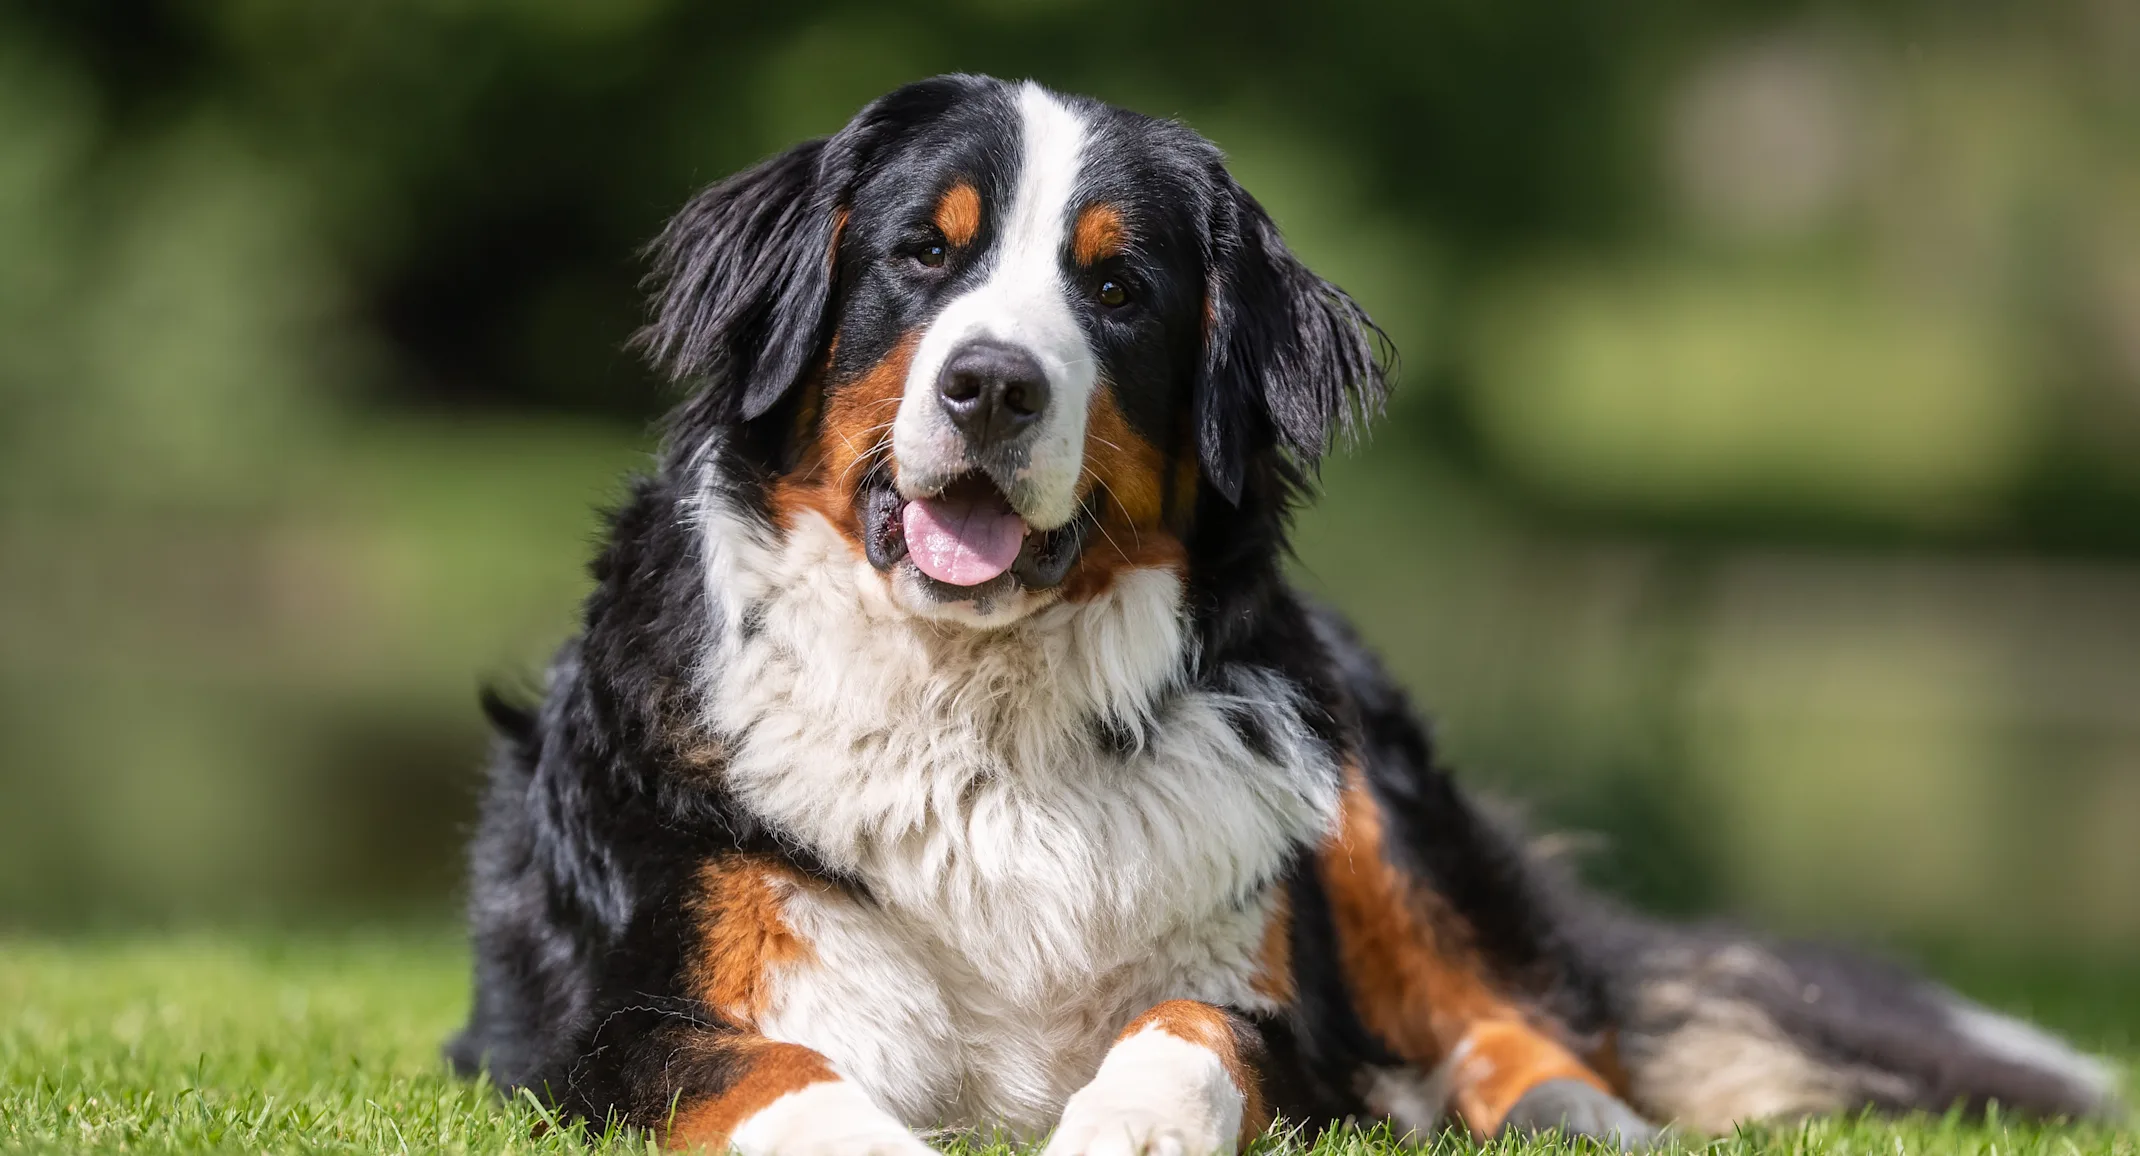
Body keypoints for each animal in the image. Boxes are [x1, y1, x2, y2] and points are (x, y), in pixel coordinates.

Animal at [451, 76, 2122, 1147]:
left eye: (1118, 291)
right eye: (922, 252)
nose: (995, 384)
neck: (981, 717)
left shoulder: (1268, 996)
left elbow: (1193, 1027)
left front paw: (1126, 1125)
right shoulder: (622, 1021)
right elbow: (787, 1084)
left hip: (1357, 777)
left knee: (1531, 1021)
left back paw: (1575, 1117)